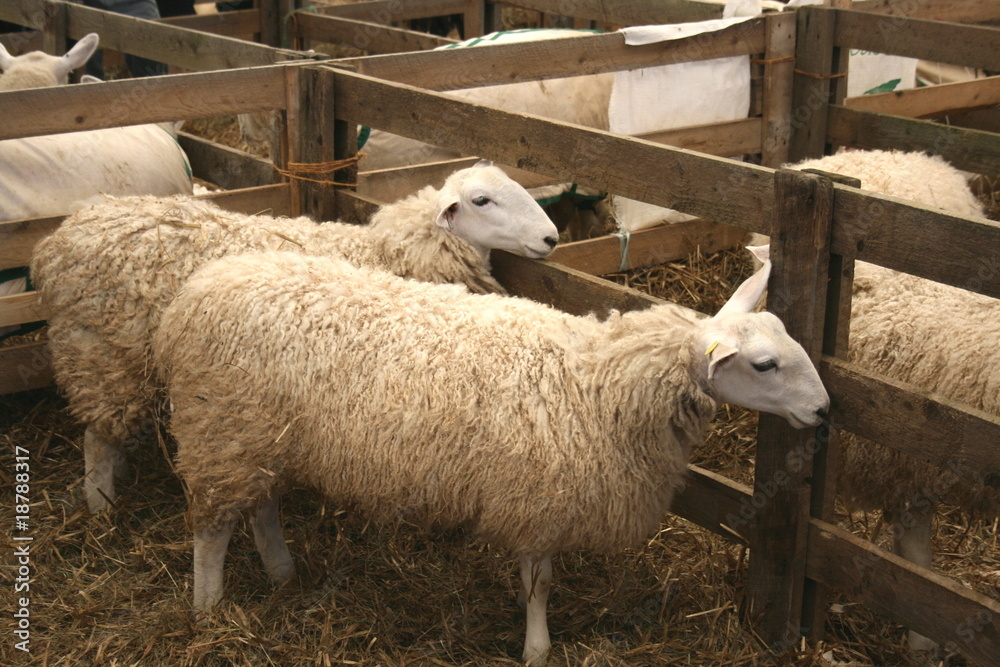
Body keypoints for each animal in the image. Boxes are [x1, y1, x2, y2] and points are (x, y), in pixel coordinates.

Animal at [30, 161, 559, 514]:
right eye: (482, 200)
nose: (552, 238)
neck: (389, 249)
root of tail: (57, 241)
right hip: (99, 351)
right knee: (96, 436)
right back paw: (101, 506)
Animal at [152, 246, 830, 664]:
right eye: (764, 365)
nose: (824, 410)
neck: (598, 383)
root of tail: (195, 290)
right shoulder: (538, 500)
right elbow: (539, 585)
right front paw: (537, 649)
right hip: (219, 428)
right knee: (211, 529)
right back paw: (209, 610)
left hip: (259, 437)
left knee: (260, 506)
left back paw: (282, 573)